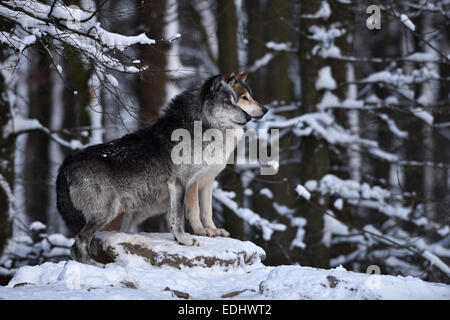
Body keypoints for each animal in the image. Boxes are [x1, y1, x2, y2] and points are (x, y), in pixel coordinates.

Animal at [55, 74, 250, 264]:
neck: (191, 130)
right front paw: (185, 240)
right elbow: (179, 218)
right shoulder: (179, 184)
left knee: (74, 248)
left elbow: (175, 219)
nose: (249, 117)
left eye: (236, 100)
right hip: (106, 213)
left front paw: (179, 240)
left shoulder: (182, 188)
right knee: (80, 240)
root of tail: (65, 164)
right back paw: (95, 264)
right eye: (228, 102)